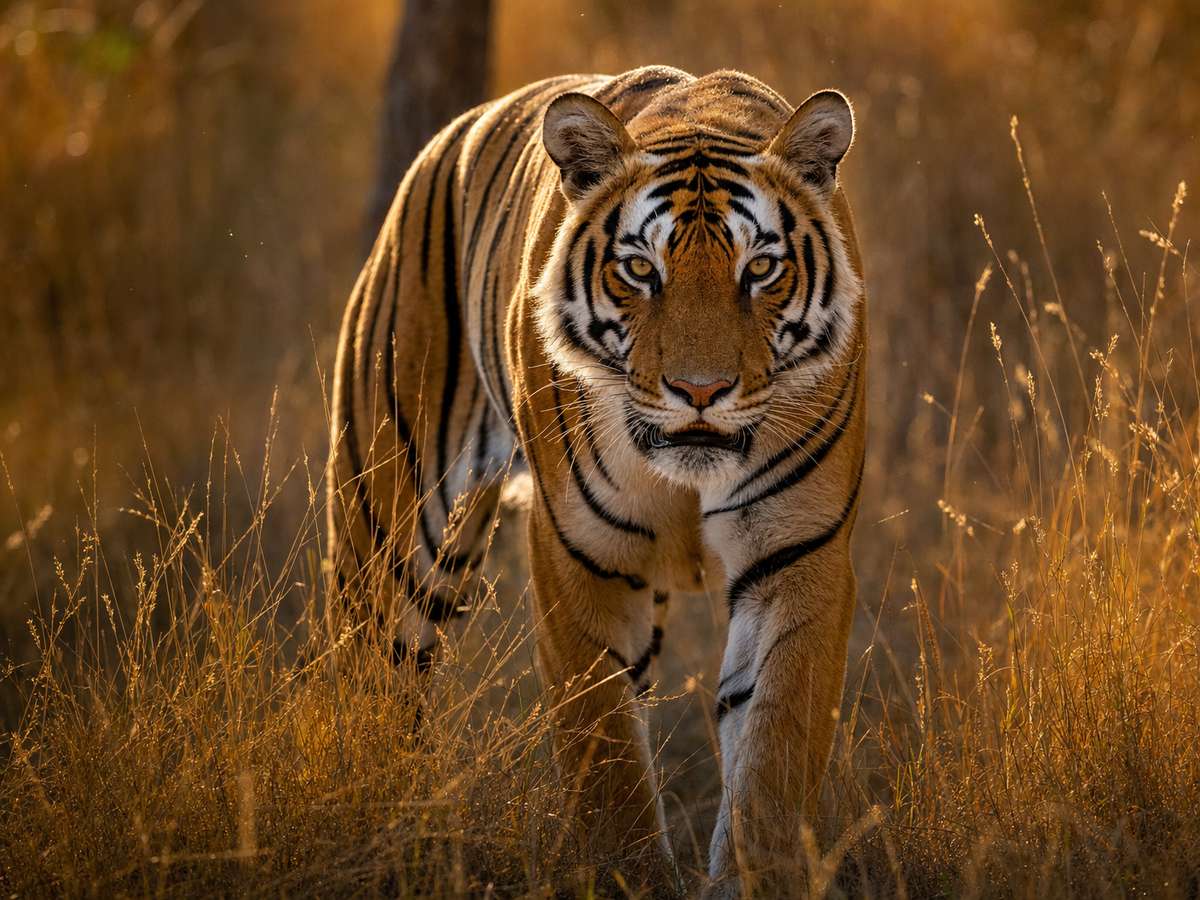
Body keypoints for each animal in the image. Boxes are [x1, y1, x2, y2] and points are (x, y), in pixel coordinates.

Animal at [328, 66, 866, 896]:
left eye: (760, 270)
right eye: (641, 269)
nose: (701, 391)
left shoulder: (798, 556)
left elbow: (772, 759)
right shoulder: (581, 554)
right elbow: (607, 761)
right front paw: (629, 876)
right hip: (389, 530)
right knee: (370, 682)